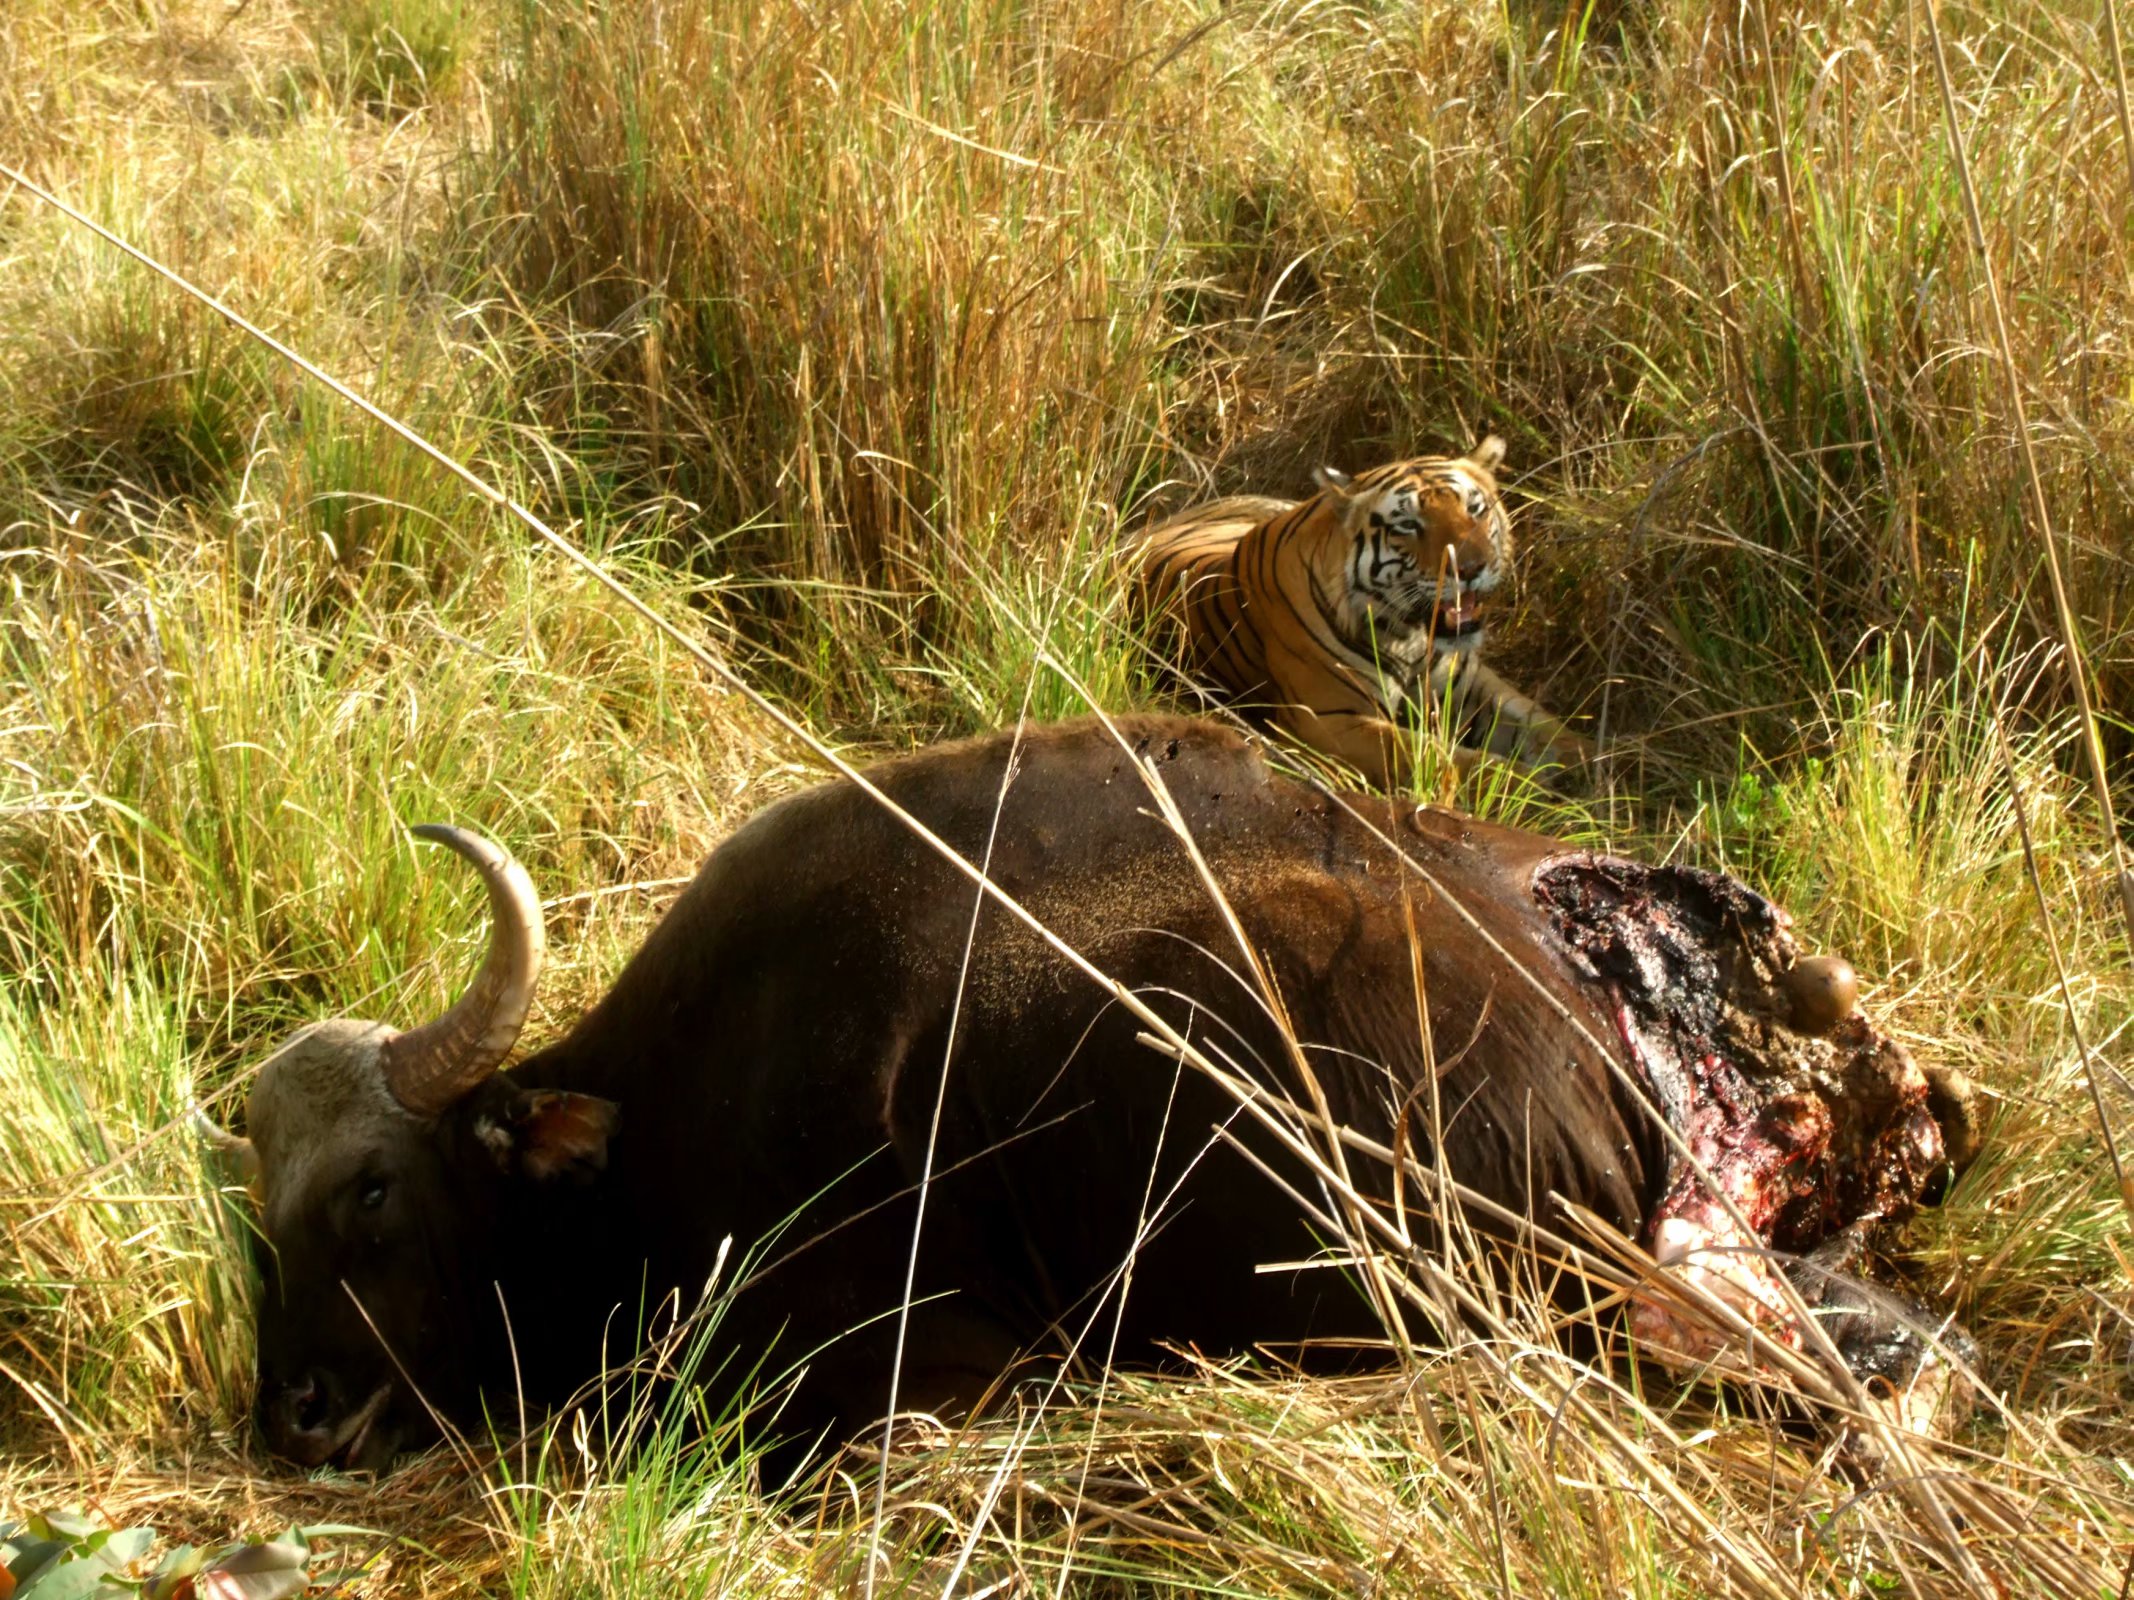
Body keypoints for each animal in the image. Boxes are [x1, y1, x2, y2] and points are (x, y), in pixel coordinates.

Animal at [1135, 435, 1587, 793]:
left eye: (1475, 510)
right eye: (1408, 525)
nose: (1473, 568)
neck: (1413, 637)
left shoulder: (1475, 687)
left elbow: (1548, 727)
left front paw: (1592, 767)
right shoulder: (1331, 719)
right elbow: (1445, 756)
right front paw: (1532, 789)